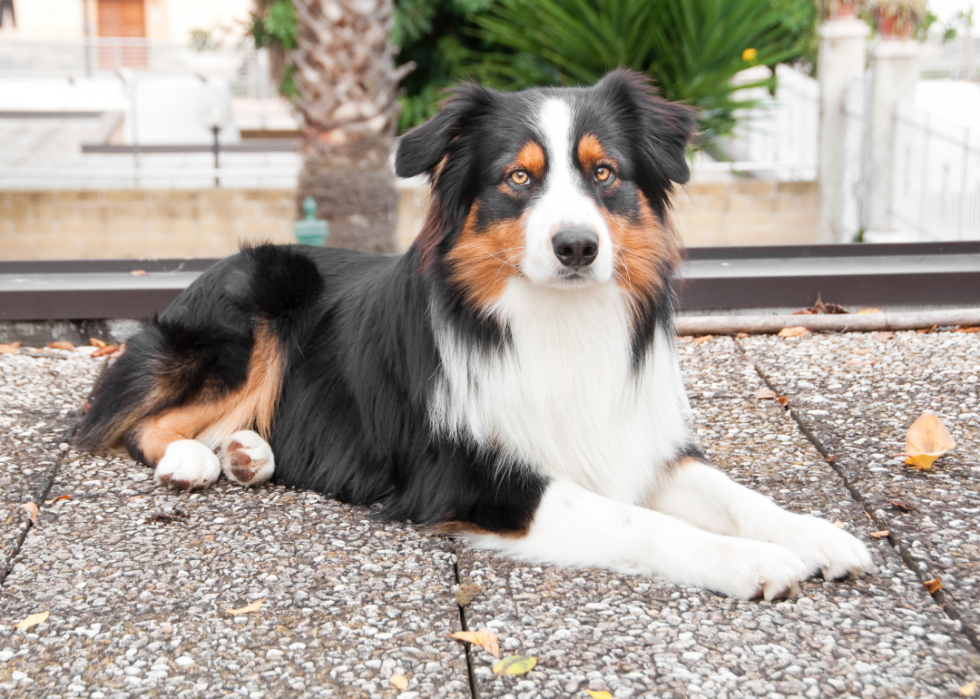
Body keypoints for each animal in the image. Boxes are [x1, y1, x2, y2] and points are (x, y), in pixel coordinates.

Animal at [78, 69, 872, 600]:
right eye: (518, 179)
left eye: (604, 173)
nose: (577, 246)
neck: (555, 321)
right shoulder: (476, 477)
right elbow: (635, 523)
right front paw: (751, 561)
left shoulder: (636, 438)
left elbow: (738, 496)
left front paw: (816, 533)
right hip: (266, 289)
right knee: (137, 421)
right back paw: (193, 458)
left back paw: (249, 452)